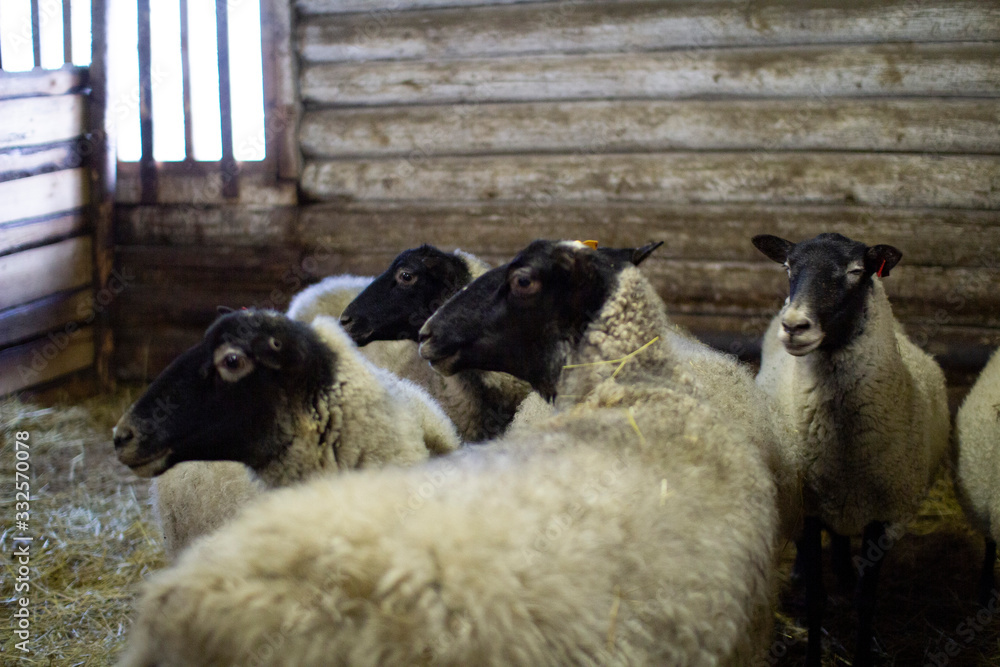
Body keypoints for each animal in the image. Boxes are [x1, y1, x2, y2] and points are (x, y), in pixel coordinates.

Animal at [752, 232, 951, 667]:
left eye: (856, 271)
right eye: (788, 266)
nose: (794, 326)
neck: (842, 450)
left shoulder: (882, 511)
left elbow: (865, 601)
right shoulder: (810, 506)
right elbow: (815, 599)